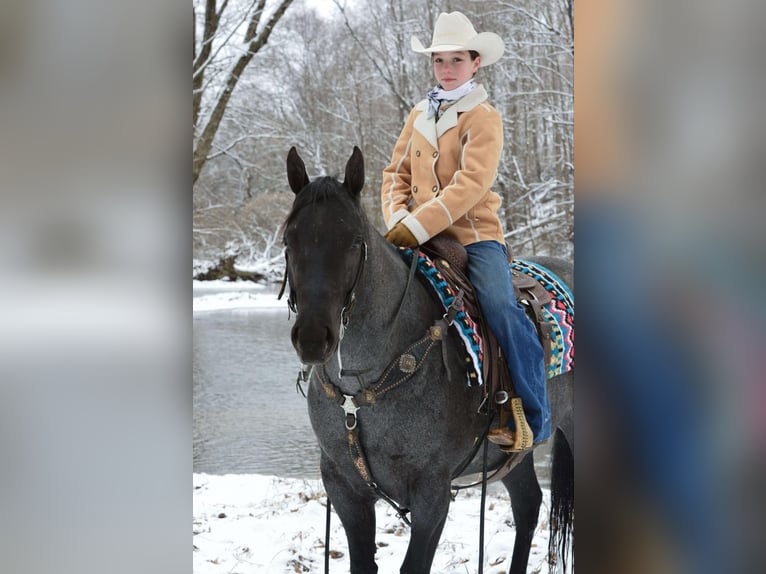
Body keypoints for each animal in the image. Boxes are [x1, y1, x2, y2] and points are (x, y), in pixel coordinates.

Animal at [284, 146, 572, 572]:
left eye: (354, 240)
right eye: (289, 239)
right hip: (511, 455)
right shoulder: (343, 487)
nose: (313, 338)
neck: (363, 389)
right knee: (527, 505)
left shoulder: (432, 491)